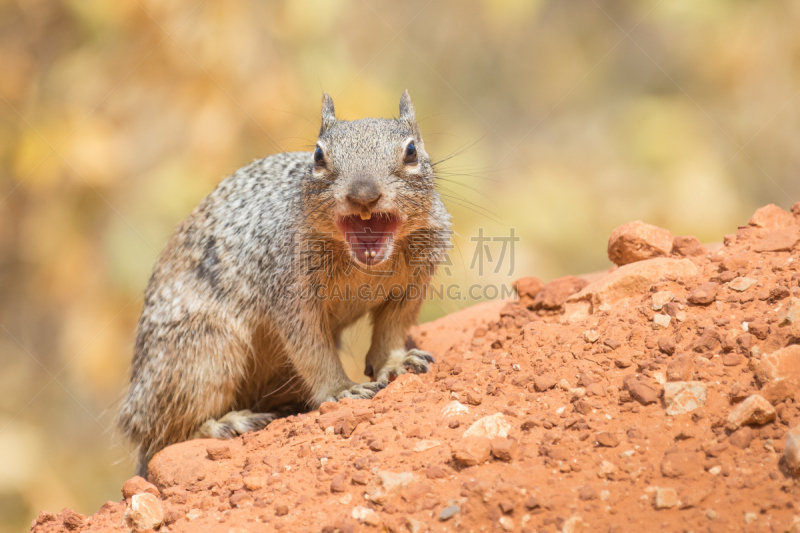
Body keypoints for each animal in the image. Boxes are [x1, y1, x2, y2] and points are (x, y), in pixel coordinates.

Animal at [115, 90, 450, 474]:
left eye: (411, 151)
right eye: (318, 155)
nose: (363, 194)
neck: (363, 263)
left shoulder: (411, 287)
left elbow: (391, 330)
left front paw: (396, 362)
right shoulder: (290, 293)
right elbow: (311, 349)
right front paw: (340, 389)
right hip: (205, 357)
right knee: (167, 436)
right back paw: (228, 423)